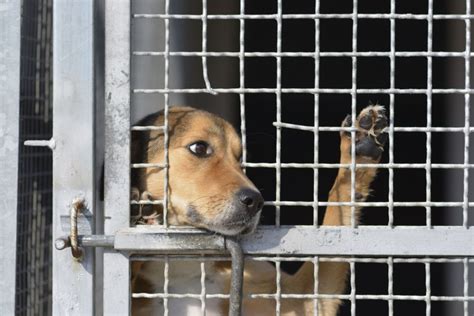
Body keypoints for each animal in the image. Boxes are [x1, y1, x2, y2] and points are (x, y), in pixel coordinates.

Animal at [131, 105, 388, 314]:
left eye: (241, 158)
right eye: (199, 148)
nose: (255, 201)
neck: (185, 264)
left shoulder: (303, 300)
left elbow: (335, 216)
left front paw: (359, 152)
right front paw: (139, 212)